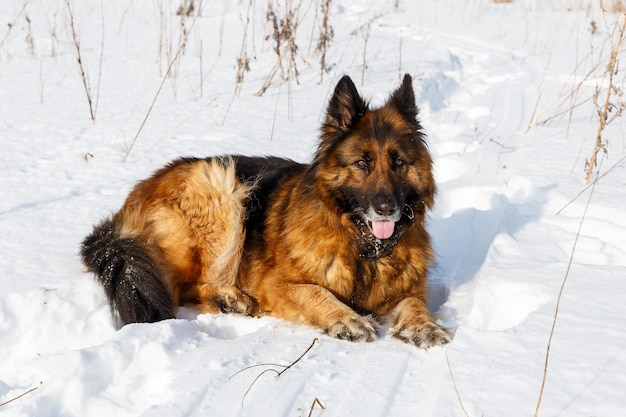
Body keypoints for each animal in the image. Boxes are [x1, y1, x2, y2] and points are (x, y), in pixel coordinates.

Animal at [81, 75, 448, 348]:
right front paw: (347, 318)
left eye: (399, 162)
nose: (386, 208)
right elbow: (315, 291)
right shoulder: (276, 285)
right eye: (362, 163)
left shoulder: (408, 289)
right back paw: (230, 299)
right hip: (223, 186)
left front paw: (426, 325)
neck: (362, 247)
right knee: (186, 288)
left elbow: (415, 303)